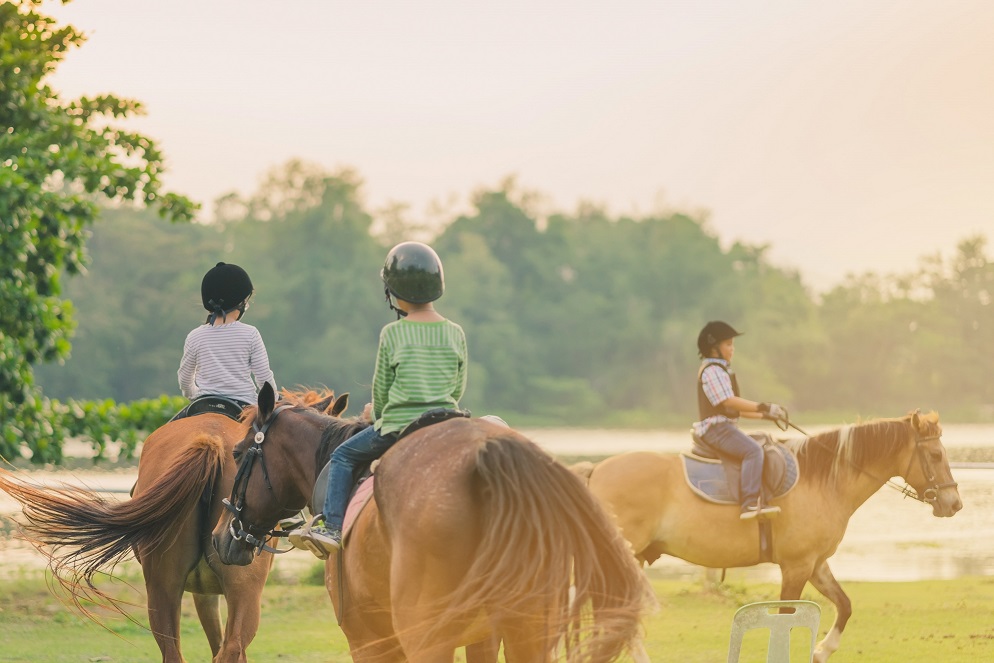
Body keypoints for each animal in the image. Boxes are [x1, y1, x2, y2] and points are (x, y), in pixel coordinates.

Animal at [0, 390, 348, 663]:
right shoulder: (208, 595)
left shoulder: (204, 594)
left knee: (181, 652)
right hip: (241, 591)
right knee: (229, 650)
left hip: (163, 588)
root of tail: (210, 440)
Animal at [211, 384, 652, 663]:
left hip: (426, 637)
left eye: (239, 453)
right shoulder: (483, 638)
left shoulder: (368, 639)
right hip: (531, 631)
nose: (220, 536)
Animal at [572, 412, 960, 660]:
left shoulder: (816, 564)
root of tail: (598, 470)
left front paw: (822, 650)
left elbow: (845, 605)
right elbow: (786, 618)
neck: (822, 480)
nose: (954, 503)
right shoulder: (796, 567)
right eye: (935, 454)